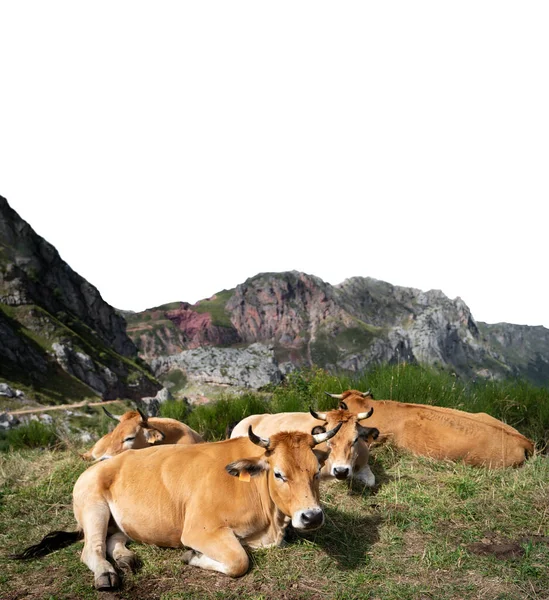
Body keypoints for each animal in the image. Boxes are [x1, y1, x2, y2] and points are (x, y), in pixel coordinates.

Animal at [12, 424, 340, 588]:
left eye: (315, 471)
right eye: (279, 474)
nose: (312, 516)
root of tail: (96, 466)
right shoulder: (199, 529)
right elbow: (239, 561)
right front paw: (192, 557)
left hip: (122, 520)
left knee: (112, 539)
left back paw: (126, 558)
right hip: (93, 505)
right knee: (90, 548)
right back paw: (106, 573)